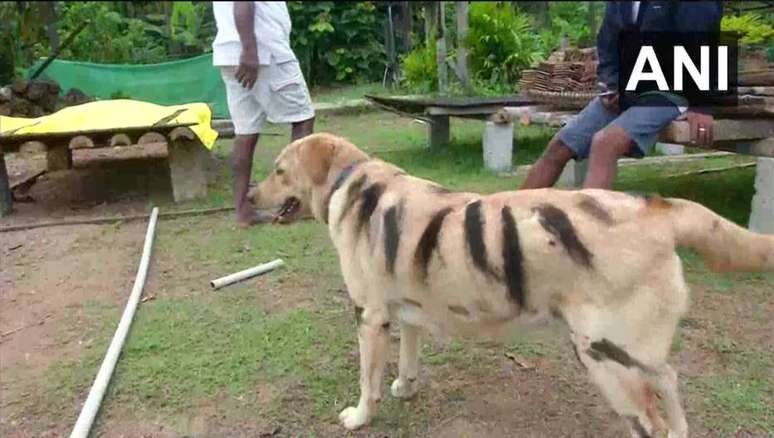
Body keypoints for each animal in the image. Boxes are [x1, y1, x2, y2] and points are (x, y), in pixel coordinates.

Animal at [252, 133, 772, 438]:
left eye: (279, 170)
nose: (250, 198)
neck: (349, 180)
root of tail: (658, 207)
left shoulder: (369, 316)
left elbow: (367, 381)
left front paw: (361, 416)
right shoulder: (408, 311)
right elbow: (408, 359)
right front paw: (406, 387)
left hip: (607, 357)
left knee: (651, 420)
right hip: (635, 350)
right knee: (669, 382)